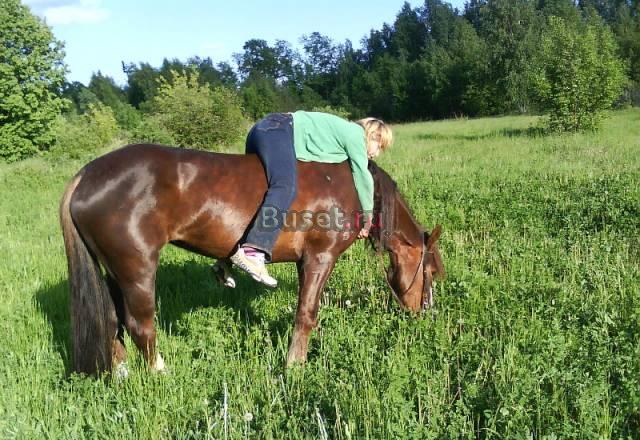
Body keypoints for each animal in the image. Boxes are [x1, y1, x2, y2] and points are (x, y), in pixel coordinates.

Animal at [59, 143, 444, 376]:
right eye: (430, 271)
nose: (426, 314)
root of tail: (85, 177)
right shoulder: (320, 257)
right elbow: (306, 315)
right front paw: (295, 367)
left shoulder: (304, 261)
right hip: (136, 268)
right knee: (139, 325)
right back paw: (161, 373)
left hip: (113, 270)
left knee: (113, 320)